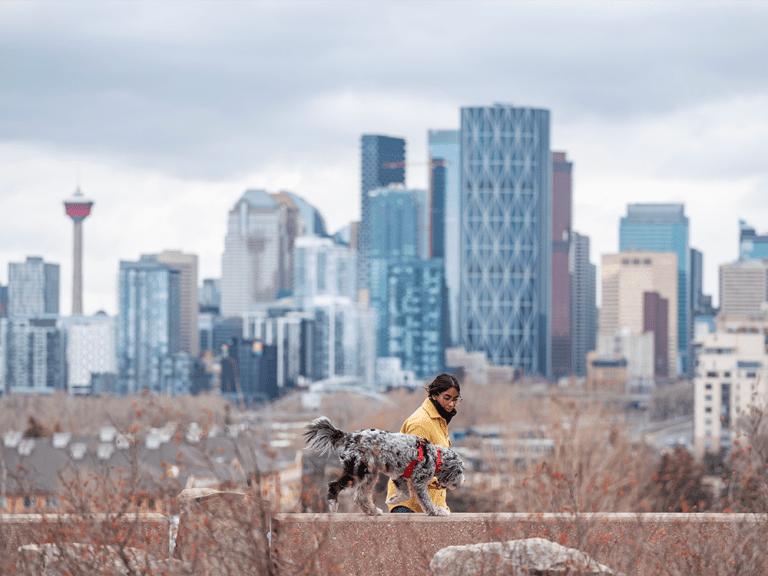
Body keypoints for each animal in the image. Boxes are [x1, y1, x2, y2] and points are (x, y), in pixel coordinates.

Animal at [304, 416, 462, 516]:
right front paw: (435, 512)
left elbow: (406, 493)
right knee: (334, 486)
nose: (463, 481)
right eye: (460, 471)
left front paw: (393, 499)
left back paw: (372, 512)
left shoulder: (398, 476)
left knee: (359, 497)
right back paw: (334, 507)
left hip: (369, 474)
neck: (435, 457)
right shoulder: (418, 482)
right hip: (357, 472)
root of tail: (349, 437)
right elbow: (426, 501)